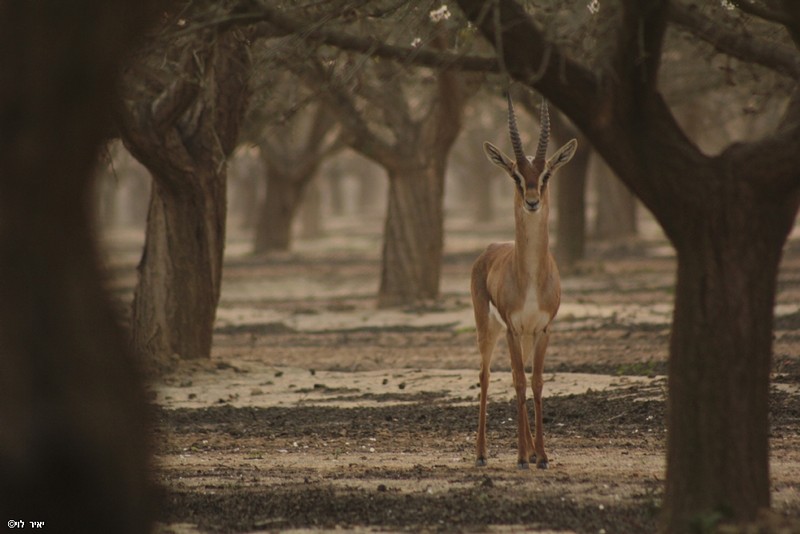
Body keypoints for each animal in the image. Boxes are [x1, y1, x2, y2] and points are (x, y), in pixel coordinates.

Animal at [471, 93, 577, 469]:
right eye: (516, 175)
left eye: (545, 174)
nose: (532, 202)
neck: (530, 277)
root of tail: (490, 249)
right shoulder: (514, 329)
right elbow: (517, 383)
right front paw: (520, 455)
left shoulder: (543, 329)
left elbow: (537, 383)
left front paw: (541, 455)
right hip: (489, 329)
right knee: (486, 376)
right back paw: (482, 453)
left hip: (525, 336)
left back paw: (530, 451)